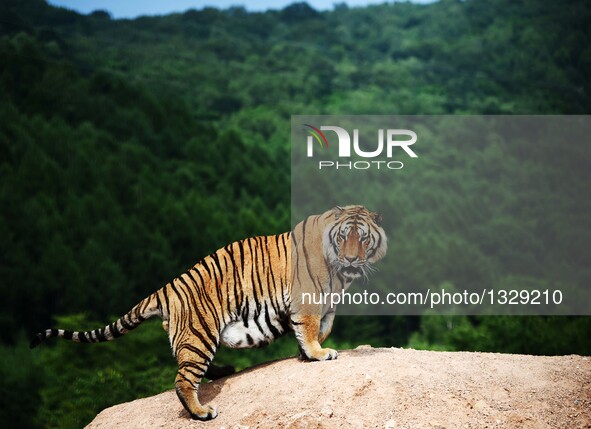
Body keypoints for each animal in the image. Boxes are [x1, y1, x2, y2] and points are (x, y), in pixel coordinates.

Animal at [30, 204, 388, 418]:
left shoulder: (327, 304)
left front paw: (306, 353)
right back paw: (202, 412)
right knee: (183, 379)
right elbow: (312, 329)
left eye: (362, 239)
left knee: (189, 366)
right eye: (344, 237)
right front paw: (318, 354)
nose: (351, 259)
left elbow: (321, 328)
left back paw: (222, 372)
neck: (342, 275)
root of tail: (167, 287)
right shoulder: (308, 300)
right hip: (200, 332)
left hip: (197, 337)